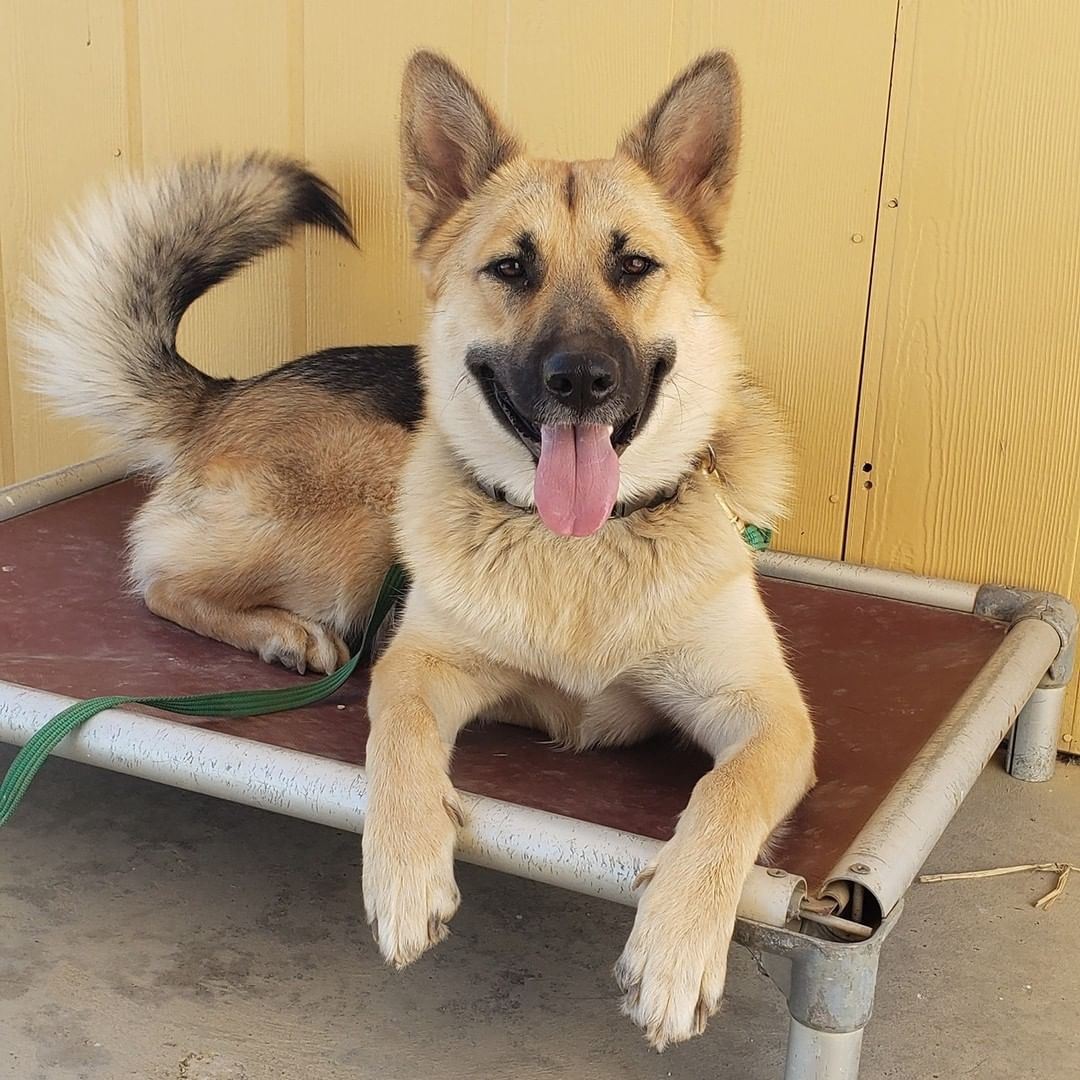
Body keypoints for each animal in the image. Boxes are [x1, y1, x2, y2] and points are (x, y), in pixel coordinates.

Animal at [27, 54, 812, 1049]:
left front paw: (675, 949)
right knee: (160, 579)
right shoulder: (419, 663)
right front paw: (404, 877)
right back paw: (284, 633)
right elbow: (394, 734)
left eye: (634, 265)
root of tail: (230, 390)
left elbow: (724, 796)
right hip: (359, 511)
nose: (580, 380)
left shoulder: (771, 719)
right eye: (511, 268)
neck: (580, 549)